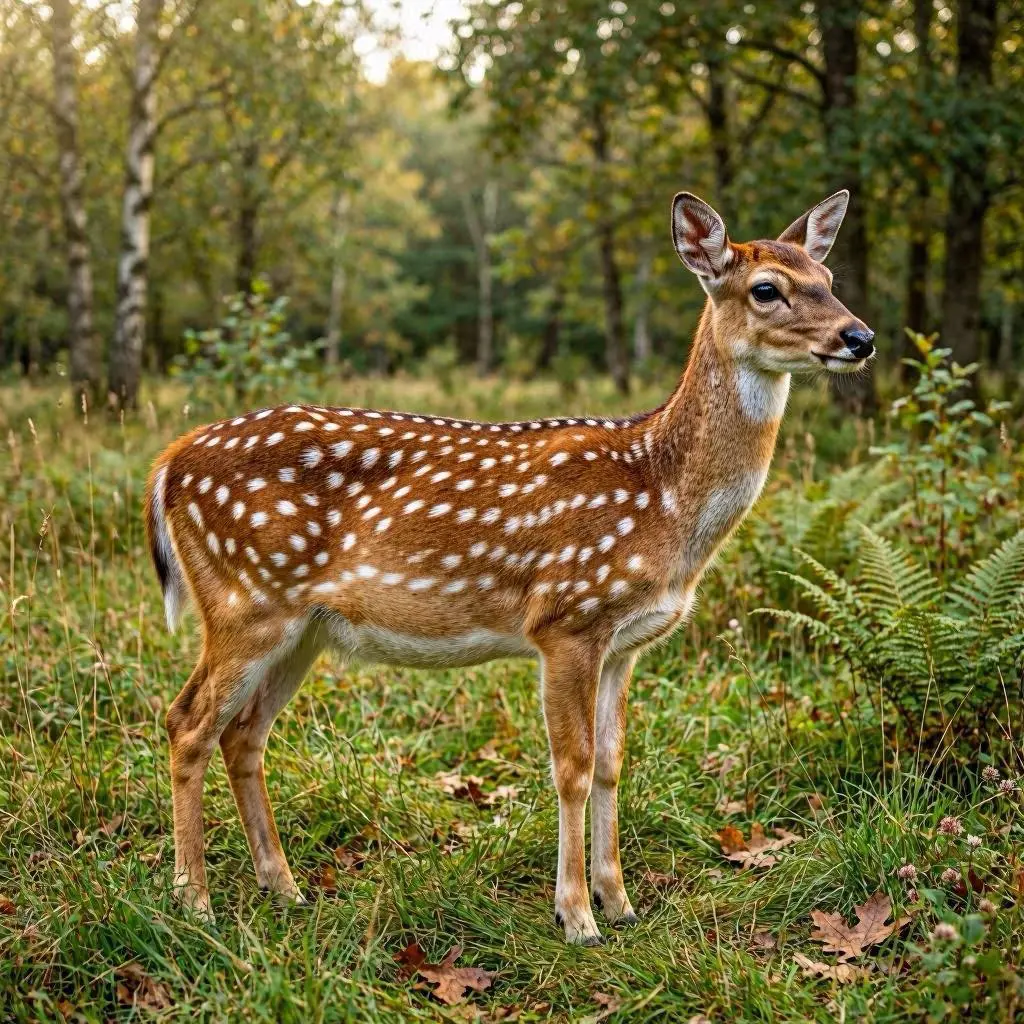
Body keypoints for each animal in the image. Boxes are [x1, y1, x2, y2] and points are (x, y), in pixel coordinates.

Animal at [145, 190, 874, 945]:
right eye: (766, 289)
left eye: (828, 279)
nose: (860, 338)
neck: (665, 498)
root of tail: (167, 465)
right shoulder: (567, 618)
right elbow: (572, 767)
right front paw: (576, 916)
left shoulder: (626, 643)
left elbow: (612, 764)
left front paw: (620, 901)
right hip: (243, 602)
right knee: (187, 722)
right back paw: (194, 901)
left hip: (303, 627)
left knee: (243, 733)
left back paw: (283, 888)